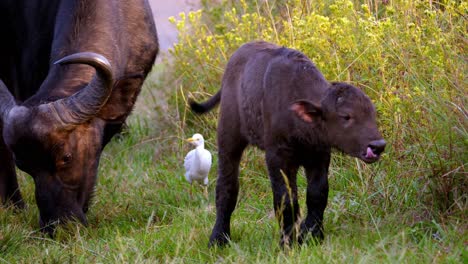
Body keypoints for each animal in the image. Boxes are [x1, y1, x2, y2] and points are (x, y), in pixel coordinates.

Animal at [188, 41, 386, 248]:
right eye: (346, 116)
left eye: (372, 114)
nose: (378, 145)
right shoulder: (277, 157)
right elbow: (285, 199)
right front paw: (288, 241)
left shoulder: (319, 155)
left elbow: (317, 194)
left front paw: (312, 234)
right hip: (228, 137)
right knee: (227, 186)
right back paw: (218, 238)